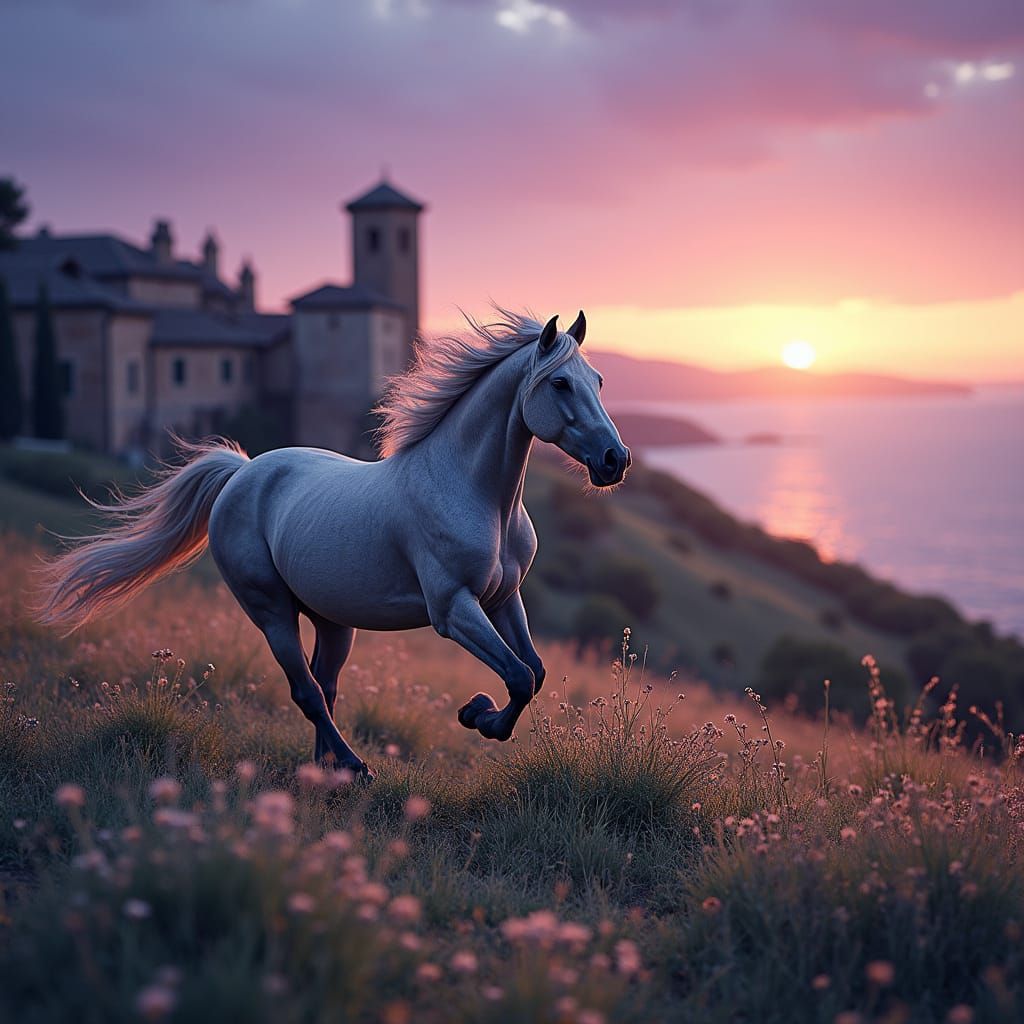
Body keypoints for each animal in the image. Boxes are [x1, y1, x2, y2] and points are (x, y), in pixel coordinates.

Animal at [38, 308, 630, 778]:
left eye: (601, 381)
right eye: (560, 384)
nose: (615, 460)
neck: (473, 492)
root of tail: (241, 472)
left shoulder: (504, 599)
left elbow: (533, 672)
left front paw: (479, 715)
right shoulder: (453, 609)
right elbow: (518, 677)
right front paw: (477, 715)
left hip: (332, 619)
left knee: (325, 687)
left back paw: (326, 768)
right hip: (271, 610)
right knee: (306, 691)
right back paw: (352, 765)